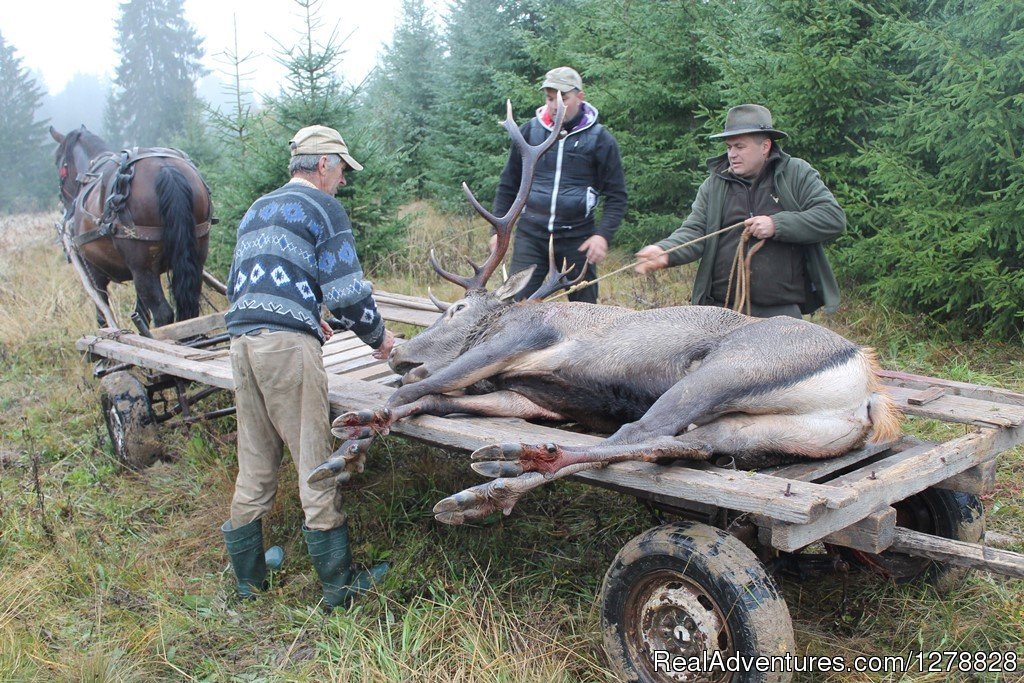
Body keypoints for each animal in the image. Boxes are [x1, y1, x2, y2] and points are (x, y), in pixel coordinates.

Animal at [49, 125, 211, 327]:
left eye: (58, 161)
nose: (63, 201)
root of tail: (167, 170)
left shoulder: (93, 271)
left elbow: (103, 315)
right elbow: (141, 313)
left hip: (143, 268)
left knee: (163, 314)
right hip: (196, 254)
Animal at [307, 98, 901, 524]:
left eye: (453, 309)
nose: (400, 351)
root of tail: (869, 393)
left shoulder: (524, 338)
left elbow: (417, 390)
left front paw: (354, 436)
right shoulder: (531, 400)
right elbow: (434, 400)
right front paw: (349, 452)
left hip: (727, 370)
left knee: (635, 432)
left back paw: (504, 470)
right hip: (767, 431)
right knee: (667, 443)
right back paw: (502, 474)